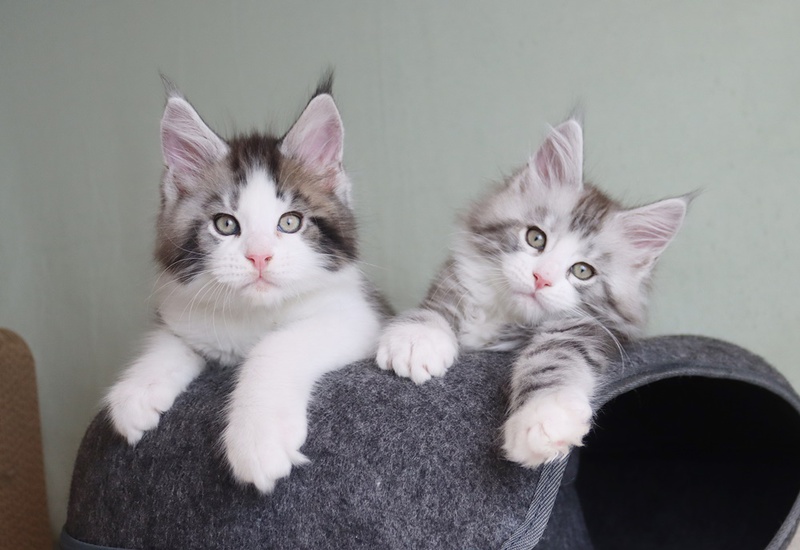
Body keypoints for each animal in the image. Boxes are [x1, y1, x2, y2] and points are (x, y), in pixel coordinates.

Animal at [105, 76, 390, 492]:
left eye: (290, 222)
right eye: (226, 224)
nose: (259, 256)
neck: (251, 314)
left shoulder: (358, 316)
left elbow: (276, 344)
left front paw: (258, 436)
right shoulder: (184, 312)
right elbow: (166, 339)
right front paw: (136, 390)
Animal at [376, 118, 689, 468]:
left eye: (582, 271)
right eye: (536, 238)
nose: (541, 279)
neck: (504, 317)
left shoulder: (585, 330)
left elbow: (551, 358)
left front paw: (544, 417)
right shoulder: (458, 277)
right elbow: (440, 306)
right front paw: (417, 338)